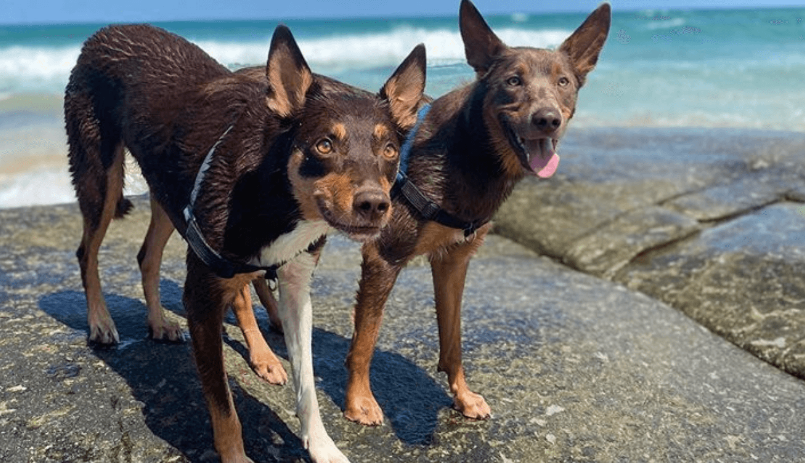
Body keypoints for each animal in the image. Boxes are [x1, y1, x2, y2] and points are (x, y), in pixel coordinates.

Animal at [66, 22, 424, 463]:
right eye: (324, 144)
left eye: (389, 150)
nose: (374, 204)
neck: (274, 194)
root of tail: (105, 31)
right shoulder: (202, 297)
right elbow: (224, 406)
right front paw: (236, 454)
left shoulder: (295, 287)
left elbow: (308, 385)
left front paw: (323, 446)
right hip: (100, 177)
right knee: (87, 251)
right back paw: (100, 321)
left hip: (170, 198)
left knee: (147, 255)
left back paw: (160, 322)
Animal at [340, 0, 608, 428]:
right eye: (513, 81)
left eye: (563, 82)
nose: (547, 119)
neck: (471, 151)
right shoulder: (384, 256)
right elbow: (365, 340)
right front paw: (359, 400)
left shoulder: (454, 261)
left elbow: (454, 341)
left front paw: (462, 395)